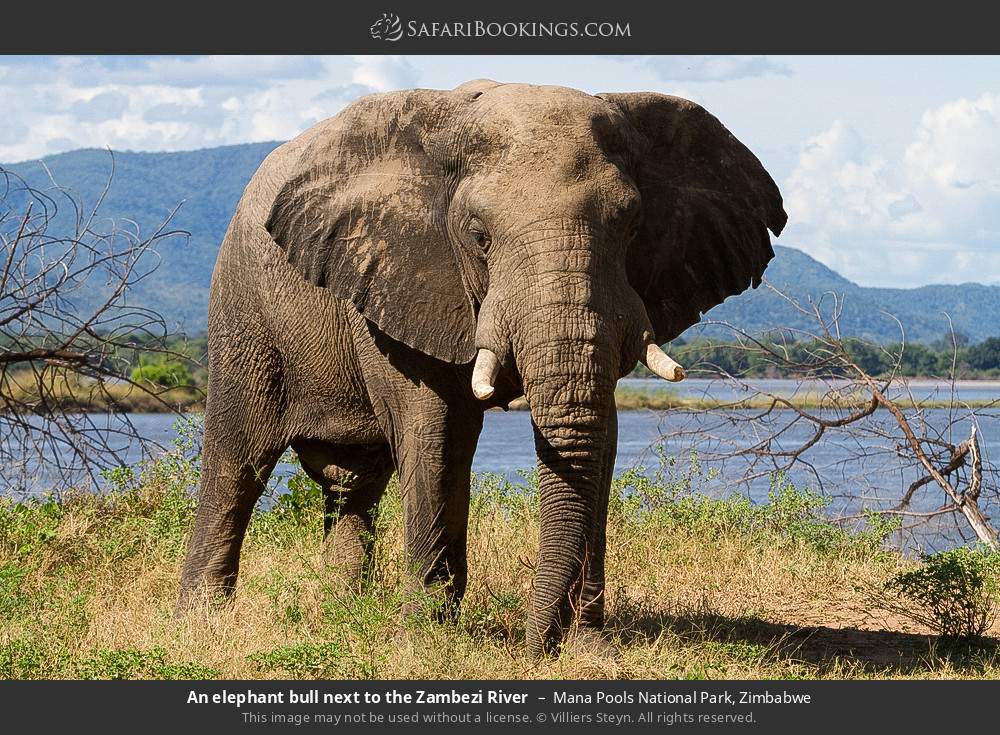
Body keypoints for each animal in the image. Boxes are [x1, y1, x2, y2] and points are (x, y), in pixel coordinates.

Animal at [177, 80, 786, 657]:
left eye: (632, 226)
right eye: (478, 235)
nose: (538, 648)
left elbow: (602, 435)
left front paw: (590, 648)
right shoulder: (402, 277)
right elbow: (437, 433)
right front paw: (424, 641)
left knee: (352, 485)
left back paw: (339, 612)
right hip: (241, 305)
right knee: (237, 463)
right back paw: (202, 622)